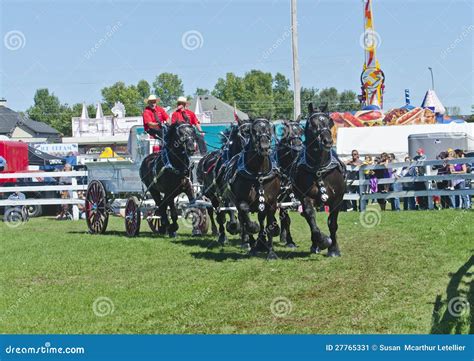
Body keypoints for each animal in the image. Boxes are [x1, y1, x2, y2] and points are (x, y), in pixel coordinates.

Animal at [223, 119, 282, 258]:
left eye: (269, 130)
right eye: (253, 131)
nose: (264, 147)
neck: (258, 174)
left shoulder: (271, 203)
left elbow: (269, 225)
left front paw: (271, 252)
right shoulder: (241, 201)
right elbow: (246, 217)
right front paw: (253, 230)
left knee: (261, 220)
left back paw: (261, 242)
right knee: (243, 219)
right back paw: (250, 244)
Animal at [290, 103, 346, 256]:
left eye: (330, 122)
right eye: (312, 124)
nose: (328, 141)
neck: (319, 168)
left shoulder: (338, 199)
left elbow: (333, 223)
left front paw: (334, 249)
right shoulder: (305, 197)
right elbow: (311, 217)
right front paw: (323, 241)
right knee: (309, 218)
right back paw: (315, 244)